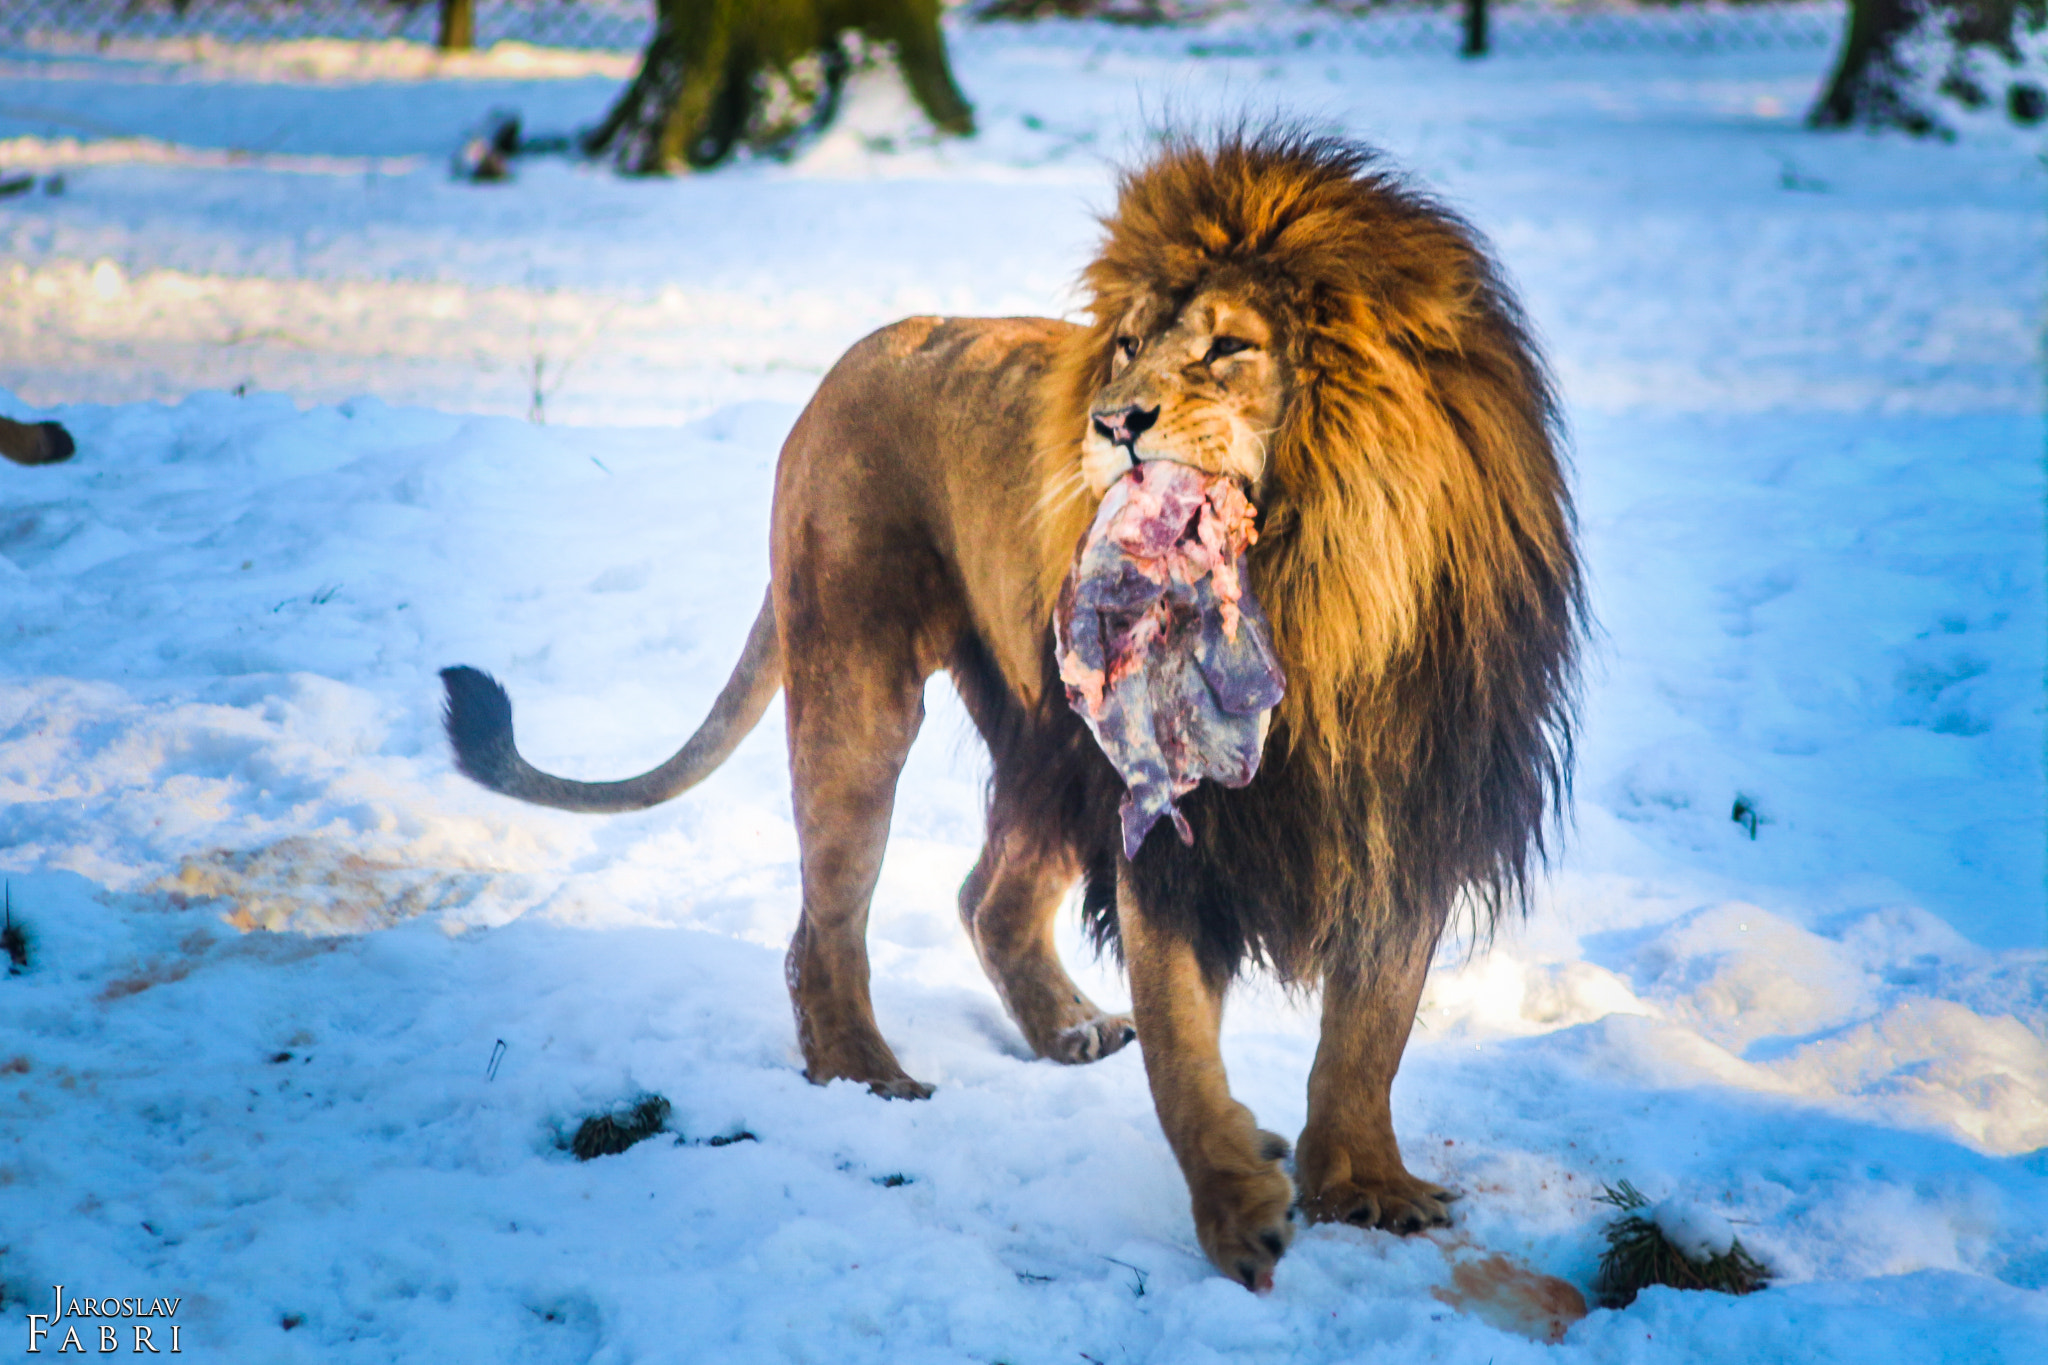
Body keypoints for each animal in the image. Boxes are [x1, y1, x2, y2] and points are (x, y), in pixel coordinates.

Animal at [444, 133, 1581, 1301]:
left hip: (1047, 740)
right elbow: (1182, 1054)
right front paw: (1237, 1212)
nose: (1112, 423)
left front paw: (1364, 1186)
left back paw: (1068, 1028)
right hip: (861, 689)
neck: (1313, 604)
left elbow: (1369, 1034)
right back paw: (867, 1077)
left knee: (986, 895)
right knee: (823, 927)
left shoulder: (1414, 810)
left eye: (1228, 347)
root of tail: (848, 361)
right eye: (1126, 346)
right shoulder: (1166, 827)